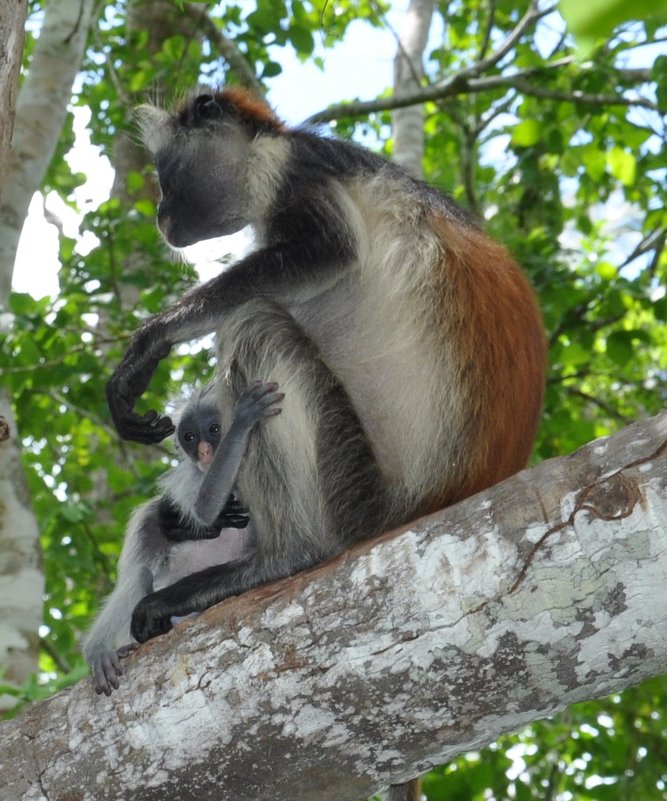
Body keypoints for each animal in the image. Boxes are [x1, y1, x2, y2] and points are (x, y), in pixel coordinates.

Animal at [83, 382, 282, 692]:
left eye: (213, 429)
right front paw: (243, 421)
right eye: (189, 437)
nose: (203, 450)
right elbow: (205, 511)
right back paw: (98, 650)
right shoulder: (192, 482)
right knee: (140, 574)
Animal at [108, 86, 548, 644]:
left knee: (250, 320)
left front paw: (152, 338)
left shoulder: (298, 173)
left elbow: (325, 254)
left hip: (354, 493)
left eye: (166, 177)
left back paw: (281, 559)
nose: (161, 213)